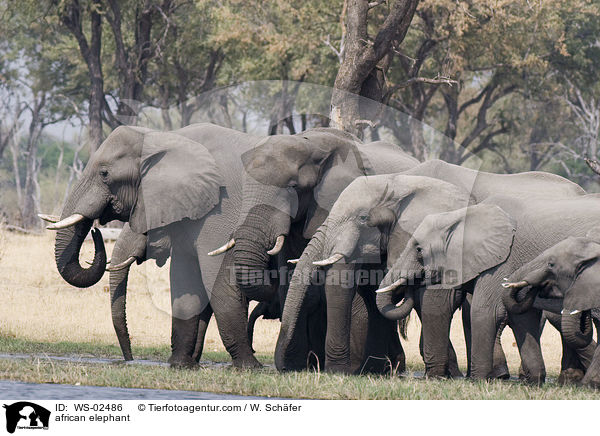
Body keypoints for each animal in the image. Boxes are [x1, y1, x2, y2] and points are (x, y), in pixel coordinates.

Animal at [378, 192, 600, 384]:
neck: (462, 215)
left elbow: (485, 311)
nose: (408, 283)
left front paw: (477, 380)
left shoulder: (502, 261)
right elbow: (520, 315)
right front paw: (534, 382)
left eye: (418, 250)